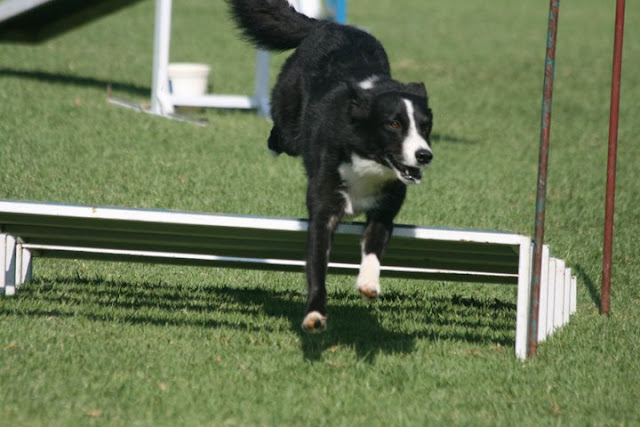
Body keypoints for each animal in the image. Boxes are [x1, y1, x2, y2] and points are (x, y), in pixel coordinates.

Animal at [226, 0, 434, 332]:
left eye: (426, 127)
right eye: (393, 124)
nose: (424, 155)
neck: (366, 160)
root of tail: (327, 25)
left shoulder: (383, 211)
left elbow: (373, 247)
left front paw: (369, 283)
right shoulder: (323, 211)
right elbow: (317, 269)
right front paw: (314, 314)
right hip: (289, 119)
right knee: (283, 135)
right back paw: (273, 143)